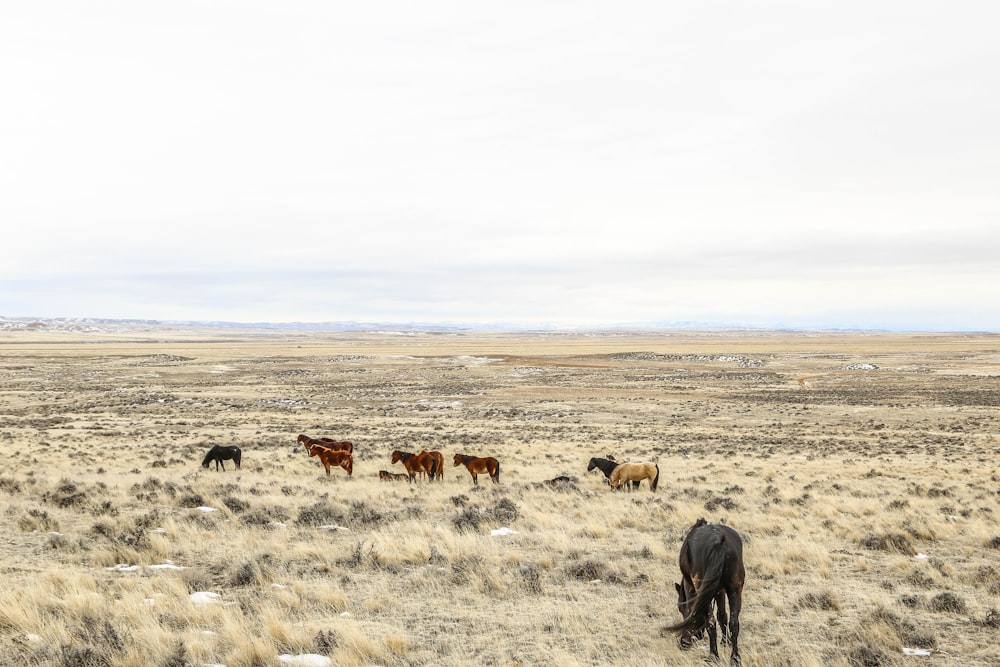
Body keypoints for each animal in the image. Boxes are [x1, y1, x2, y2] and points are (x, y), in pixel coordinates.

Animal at [664, 520, 744, 664]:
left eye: (680, 608)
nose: (684, 643)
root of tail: (719, 542)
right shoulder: (720, 591)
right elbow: (722, 615)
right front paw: (725, 641)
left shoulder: (692, 589)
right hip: (735, 589)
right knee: (734, 623)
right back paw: (735, 658)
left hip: (702, 588)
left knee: (710, 622)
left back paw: (713, 657)